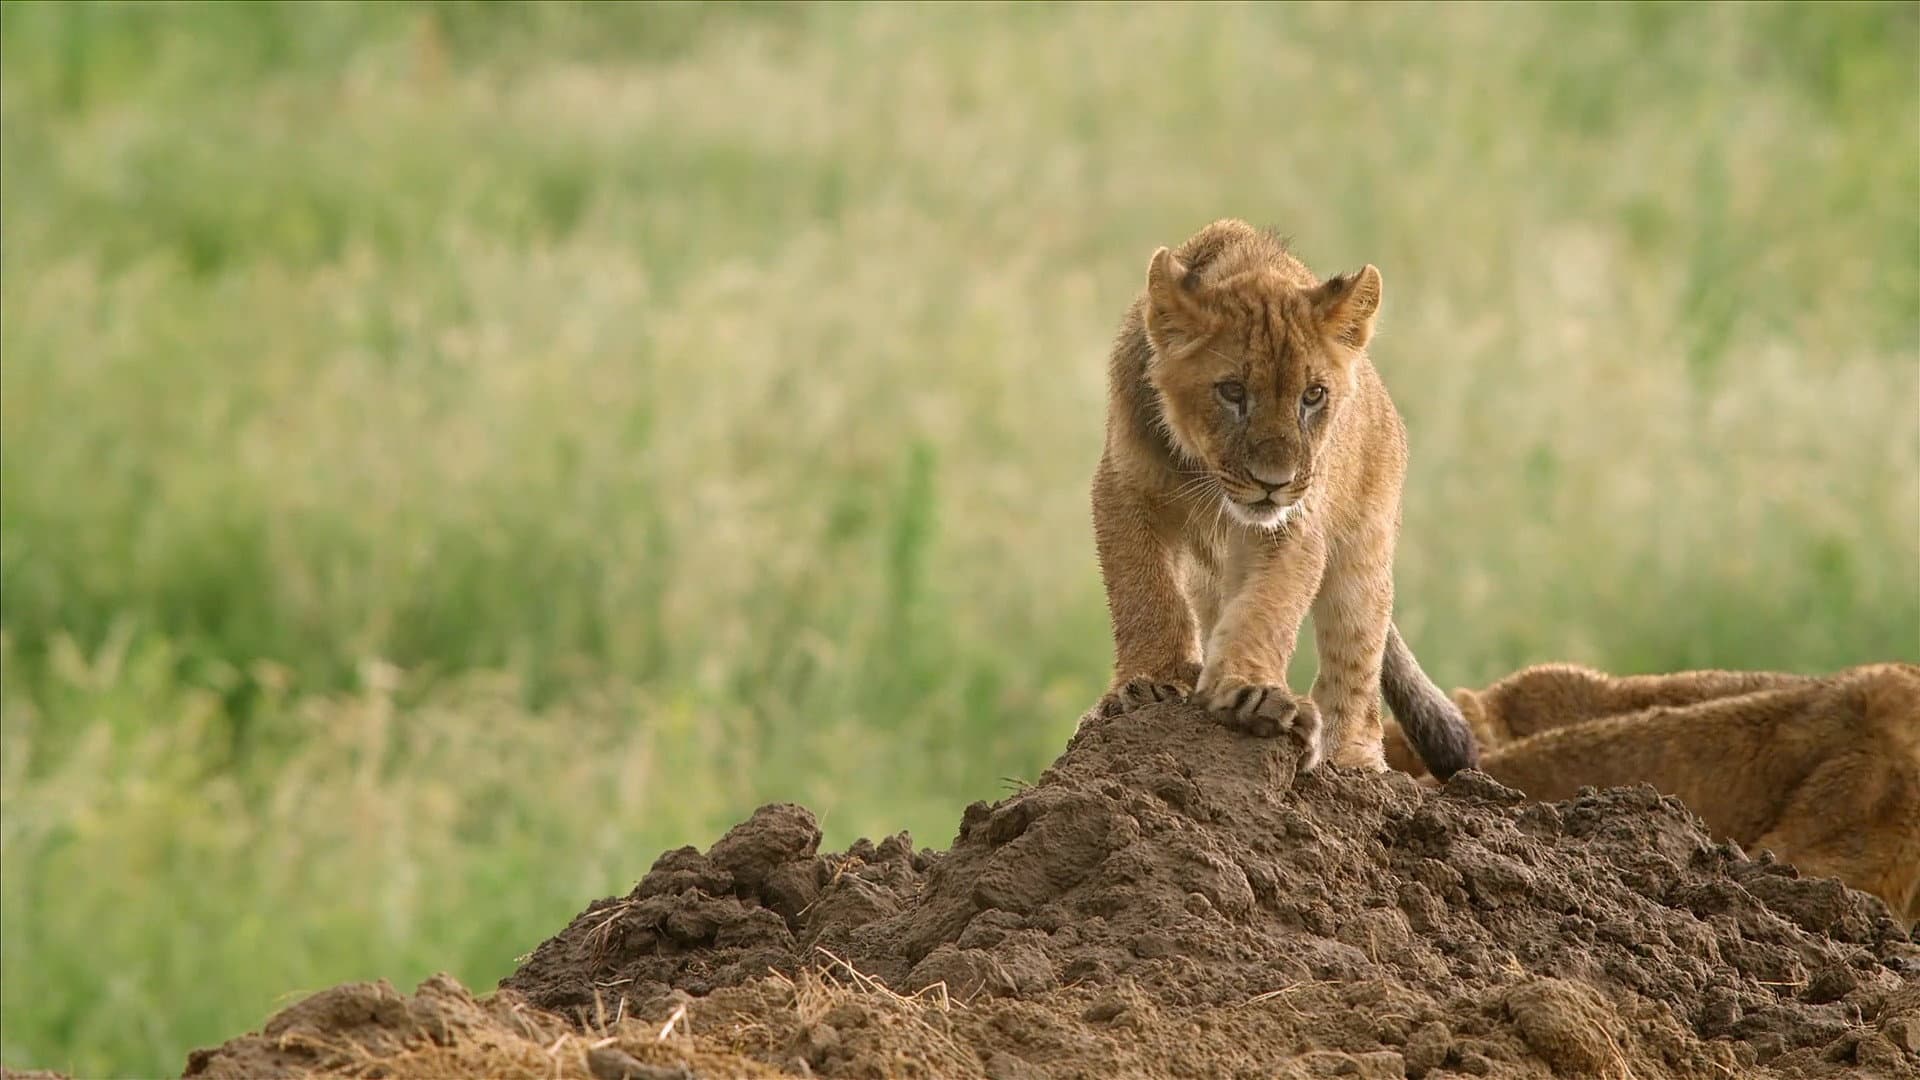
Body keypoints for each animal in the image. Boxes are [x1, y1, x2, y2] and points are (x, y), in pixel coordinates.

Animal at [1089, 219, 1477, 779]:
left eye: (1312, 396)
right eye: (1232, 392)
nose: (1274, 481)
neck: (1204, 474)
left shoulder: (1292, 525)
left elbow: (1266, 608)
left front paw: (1249, 695)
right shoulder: (1123, 489)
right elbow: (1144, 590)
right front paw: (1148, 683)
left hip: (1365, 558)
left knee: (1357, 671)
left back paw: (1351, 762)